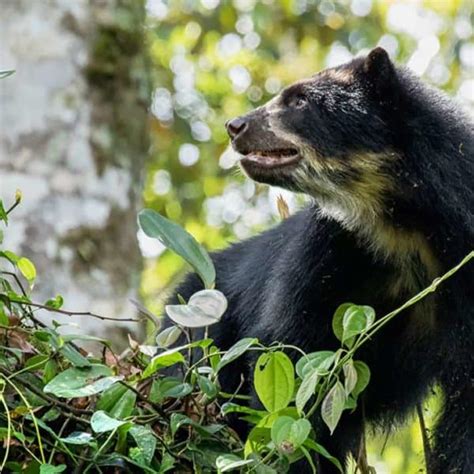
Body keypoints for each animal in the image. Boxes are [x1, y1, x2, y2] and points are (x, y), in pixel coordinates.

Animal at [168, 49, 472, 474]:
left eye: (299, 101)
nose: (235, 125)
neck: (401, 225)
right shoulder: (325, 251)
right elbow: (293, 355)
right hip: (198, 334)